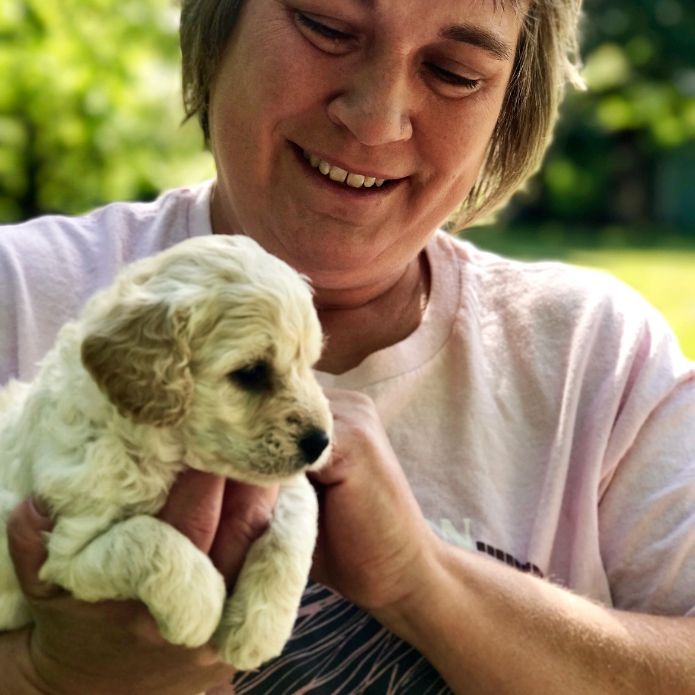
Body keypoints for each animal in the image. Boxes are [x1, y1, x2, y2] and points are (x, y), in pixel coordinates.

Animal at [0, 237, 334, 672]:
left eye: (308, 364)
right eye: (250, 373)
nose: (321, 442)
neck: (169, 453)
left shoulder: (278, 481)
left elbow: (295, 524)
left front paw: (257, 630)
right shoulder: (64, 552)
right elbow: (145, 537)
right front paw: (202, 605)